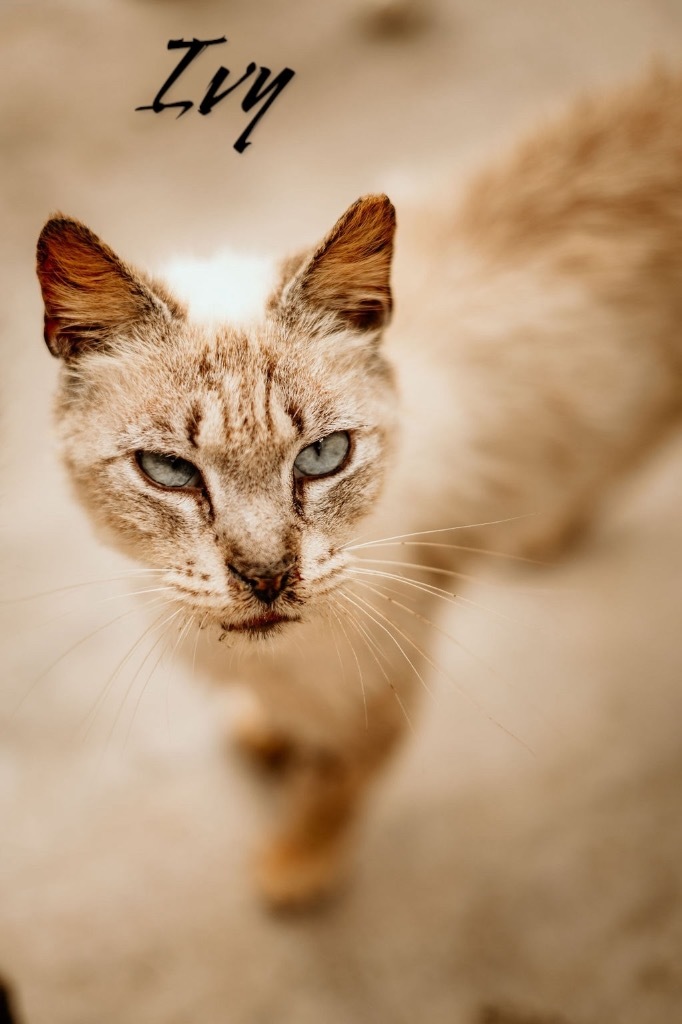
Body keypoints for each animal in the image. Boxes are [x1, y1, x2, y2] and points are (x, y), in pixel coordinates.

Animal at [34, 68, 679, 909]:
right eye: (169, 471)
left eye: (323, 457)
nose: (267, 577)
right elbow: (288, 723)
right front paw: (268, 735)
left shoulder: (381, 686)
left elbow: (335, 782)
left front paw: (296, 867)